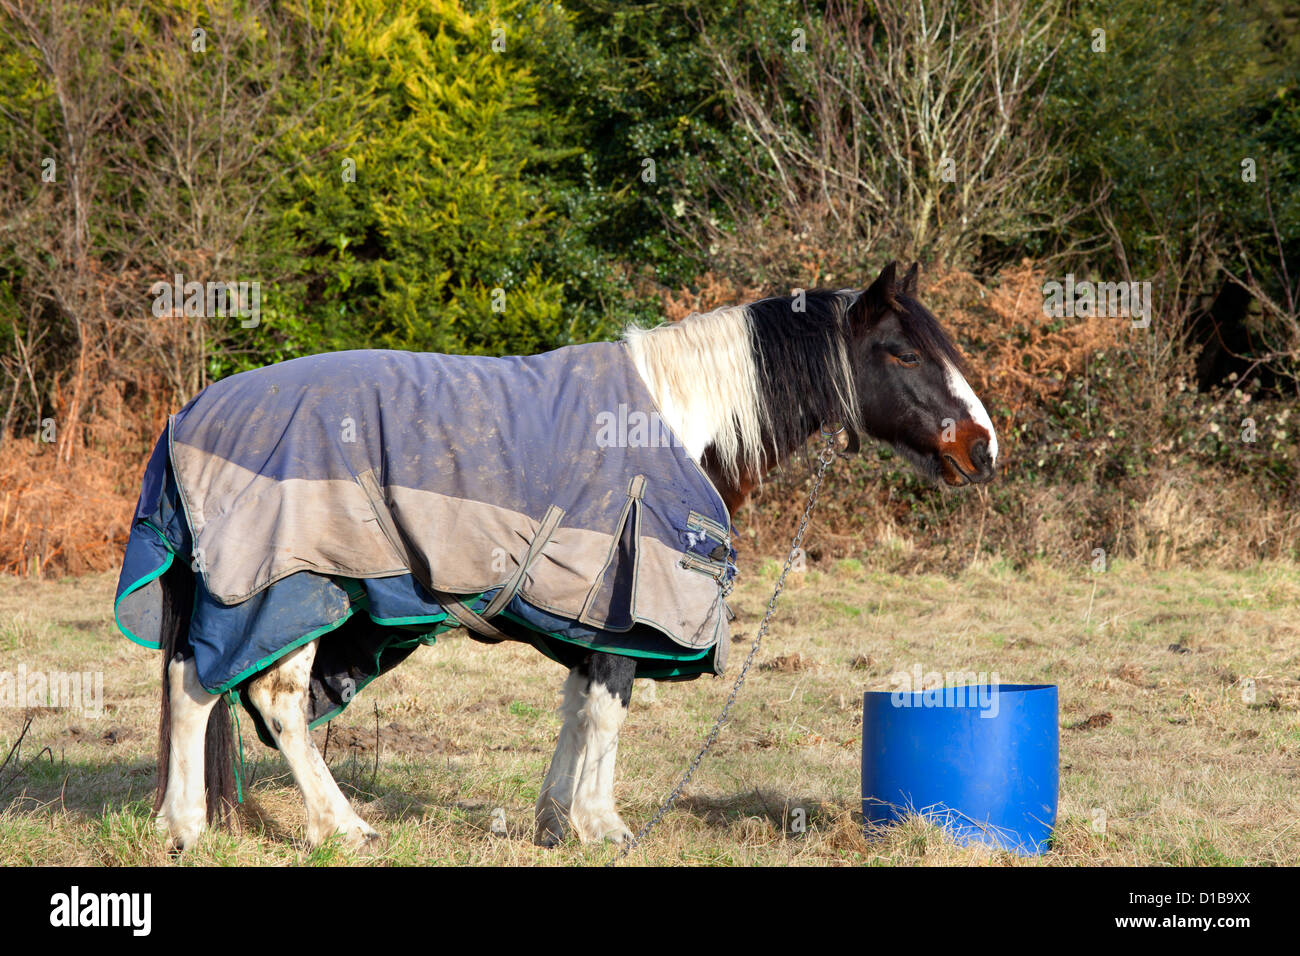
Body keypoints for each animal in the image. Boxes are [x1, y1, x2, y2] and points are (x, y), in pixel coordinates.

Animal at [119, 260, 993, 853]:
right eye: (902, 353)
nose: (983, 448)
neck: (676, 422)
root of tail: (189, 416)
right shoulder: (628, 606)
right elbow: (609, 705)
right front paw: (601, 825)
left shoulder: (589, 608)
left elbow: (579, 706)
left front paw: (556, 817)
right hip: (288, 588)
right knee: (258, 698)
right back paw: (330, 826)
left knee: (191, 686)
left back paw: (181, 826)